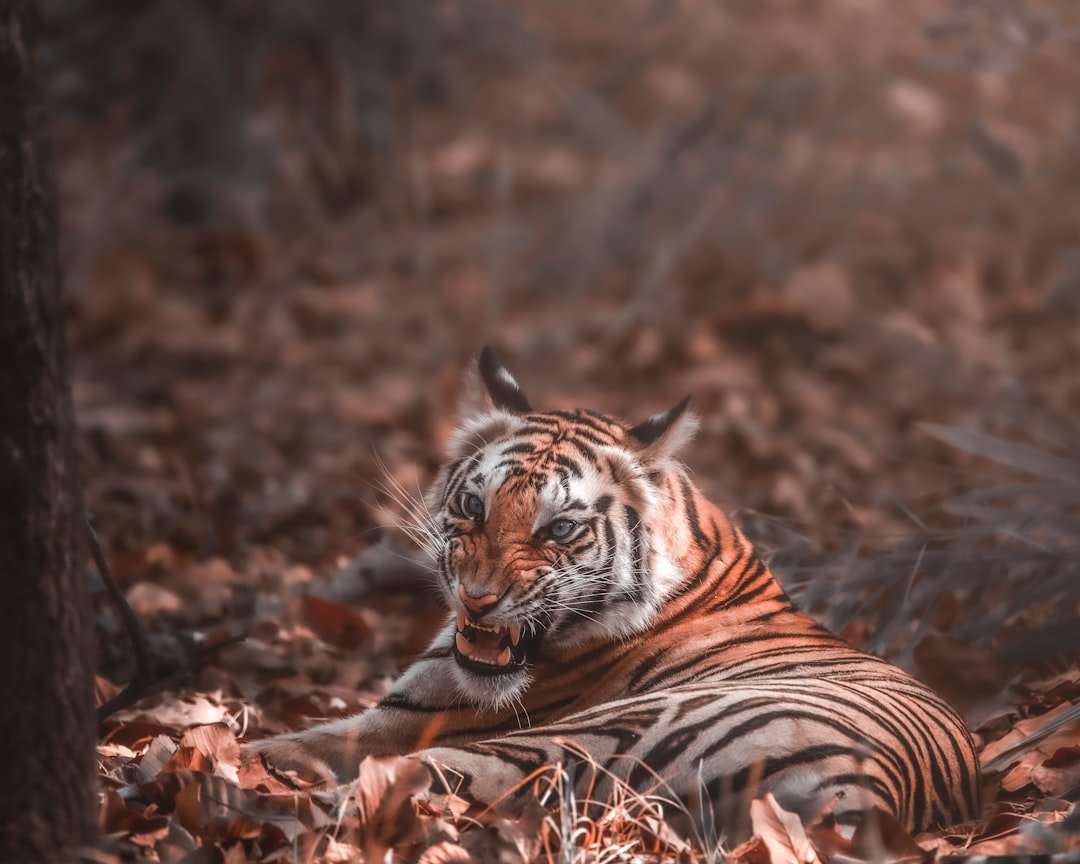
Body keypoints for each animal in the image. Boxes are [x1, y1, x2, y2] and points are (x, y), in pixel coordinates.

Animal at [247, 347, 980, 837]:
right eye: (473, 504)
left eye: (559, 528)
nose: (476, 600)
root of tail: (867, 790)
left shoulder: (411, 719)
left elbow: (288, 745)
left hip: (576, 738)